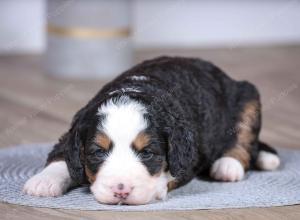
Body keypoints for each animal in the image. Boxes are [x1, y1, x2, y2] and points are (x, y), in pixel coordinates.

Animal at [23, 56, 282, 205]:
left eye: (147, 153)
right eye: (98, 152)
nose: (121, 190)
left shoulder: (189, 154)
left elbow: (171, 173)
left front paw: (155, 187)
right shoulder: (74, 130)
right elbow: (61, 156)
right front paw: (43, 182)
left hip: (247, 97)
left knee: (245, 139)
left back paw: (228, 166)